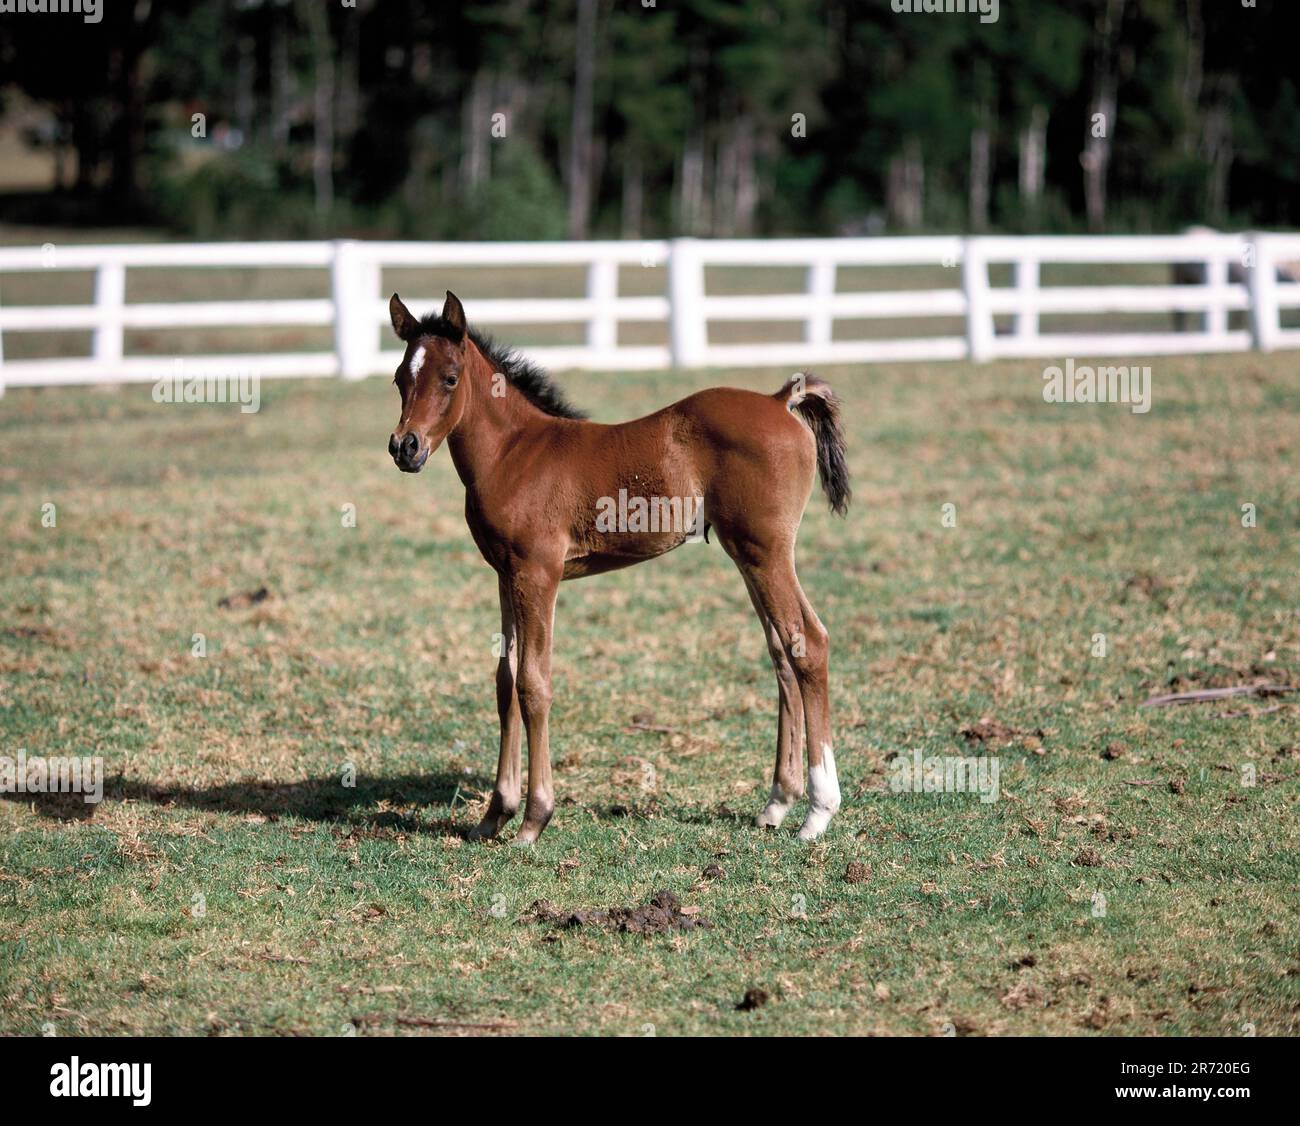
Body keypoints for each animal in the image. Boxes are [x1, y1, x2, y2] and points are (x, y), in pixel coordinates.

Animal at [386, 291, 851, 844]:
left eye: (451, 378)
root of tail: (781, 400)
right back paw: (777, 803)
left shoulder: (538, 573)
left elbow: (533, 684)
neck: (514, 452)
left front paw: (534, 819)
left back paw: (818, 812)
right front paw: (495, 813)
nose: (405, 447)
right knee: (783, 652)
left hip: (767, 552)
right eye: (399, 377)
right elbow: (504, 681)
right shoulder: (505, 574)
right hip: (749, 555)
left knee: (810, 643)